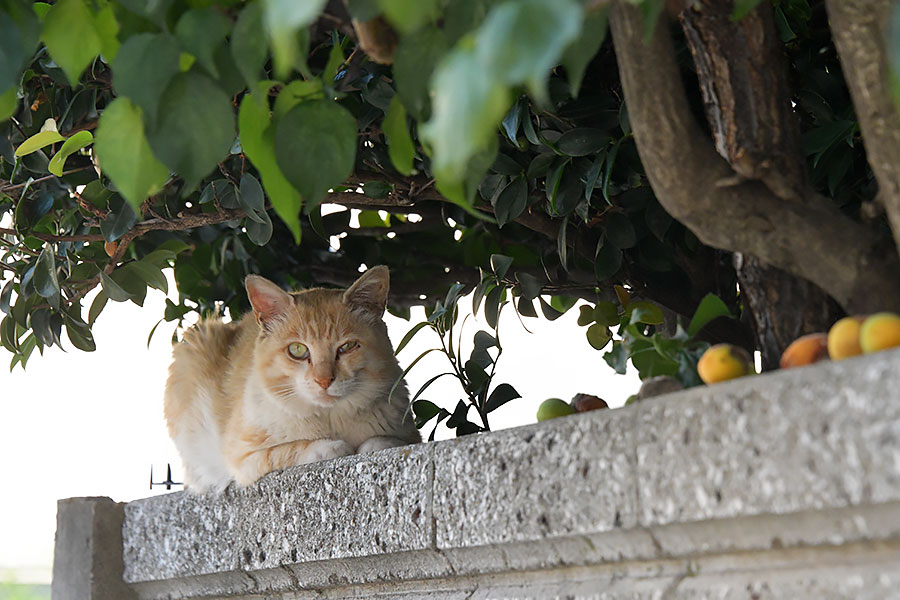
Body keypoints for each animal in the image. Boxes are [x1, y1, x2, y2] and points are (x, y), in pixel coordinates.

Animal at [163, 268, 420, 492]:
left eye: (347, 347)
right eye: (297, 350)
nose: (324, 380)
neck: (331, 419)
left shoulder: (409, 432)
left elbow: (384, 440)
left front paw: (373, 445)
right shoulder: (244, 457)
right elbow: (288, 450)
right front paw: (332, 446)